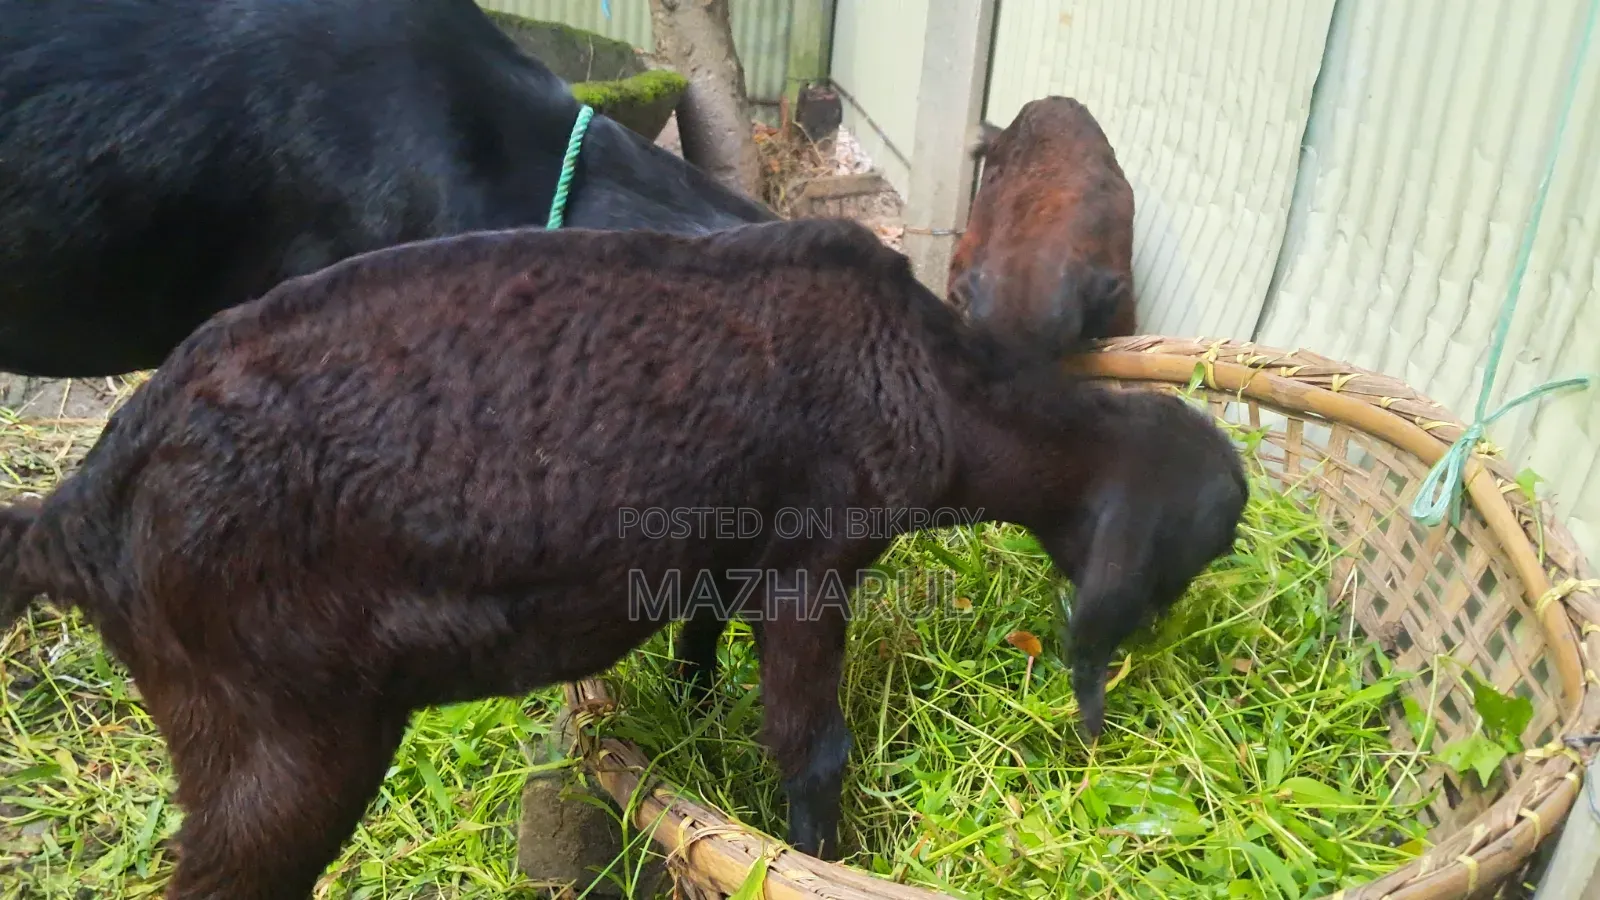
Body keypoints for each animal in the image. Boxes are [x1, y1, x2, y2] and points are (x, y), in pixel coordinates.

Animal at [0, 217, 1245, 895]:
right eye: (1192, 553)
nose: (1149, 668)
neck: (937, 383)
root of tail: (80, 509)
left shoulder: (727, 545)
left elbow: (700, 634)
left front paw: (691, 704)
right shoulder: (812, 558)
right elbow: (812, 746)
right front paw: (825, 847)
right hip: (272, 729)